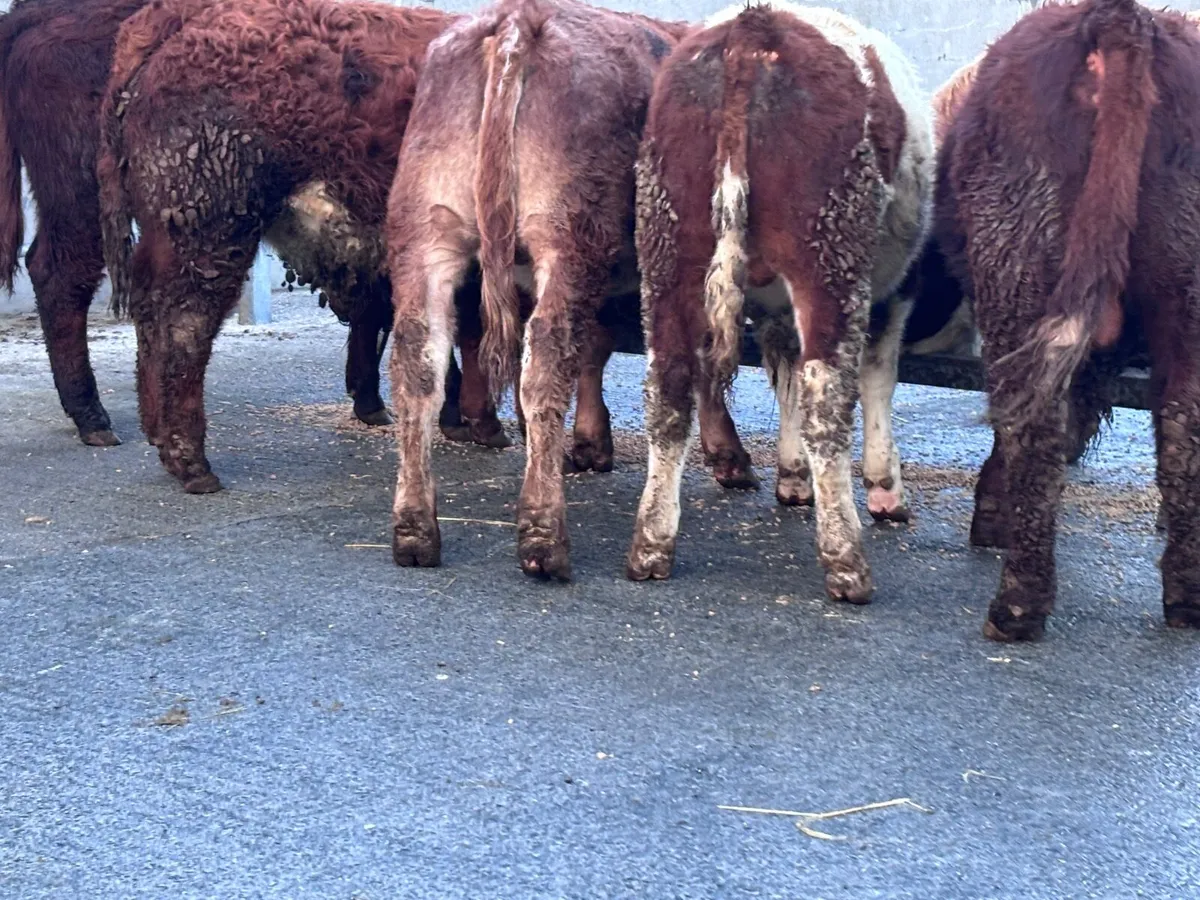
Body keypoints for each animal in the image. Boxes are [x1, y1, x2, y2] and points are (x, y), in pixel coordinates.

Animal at [386, 0, 688, 579]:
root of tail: (517, 20)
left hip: (427, 230)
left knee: (419, 361)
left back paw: (415, 531)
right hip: (567, 236)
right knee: (547, 359)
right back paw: (544, 537)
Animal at [626, 2, 933, 602]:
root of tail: (753, 30)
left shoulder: (771, 309)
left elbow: (782, 368)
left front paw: (792, 475)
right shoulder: (896, 289)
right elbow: (878, 376)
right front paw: (884, 486)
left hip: (667, 244)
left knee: (670, 385)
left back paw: (652, 544)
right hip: (829, 251)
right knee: (825, 393)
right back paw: (845, 560)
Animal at [936, 0, 1200, 640]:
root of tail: (1123, 21)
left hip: (1018, 271)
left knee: (1033, 424)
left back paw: (1016, 604)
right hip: (1185, 299)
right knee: (1184, 424)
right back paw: (1187, 597)